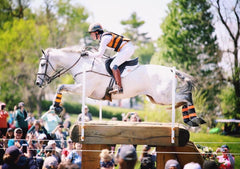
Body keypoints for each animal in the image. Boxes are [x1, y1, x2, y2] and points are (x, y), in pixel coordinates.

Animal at [36, 46, 205, 126]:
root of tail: (171, 70)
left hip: (162, 97)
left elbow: (60, 87)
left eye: (43, 64)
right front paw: (56, 107)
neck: (82, 65)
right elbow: (61, 87)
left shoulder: (83, 89)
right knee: (183, 99)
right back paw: (190, 120)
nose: (38, 83)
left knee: (186, 96)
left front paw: (56, 108)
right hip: (156, 98)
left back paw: (194, 119)